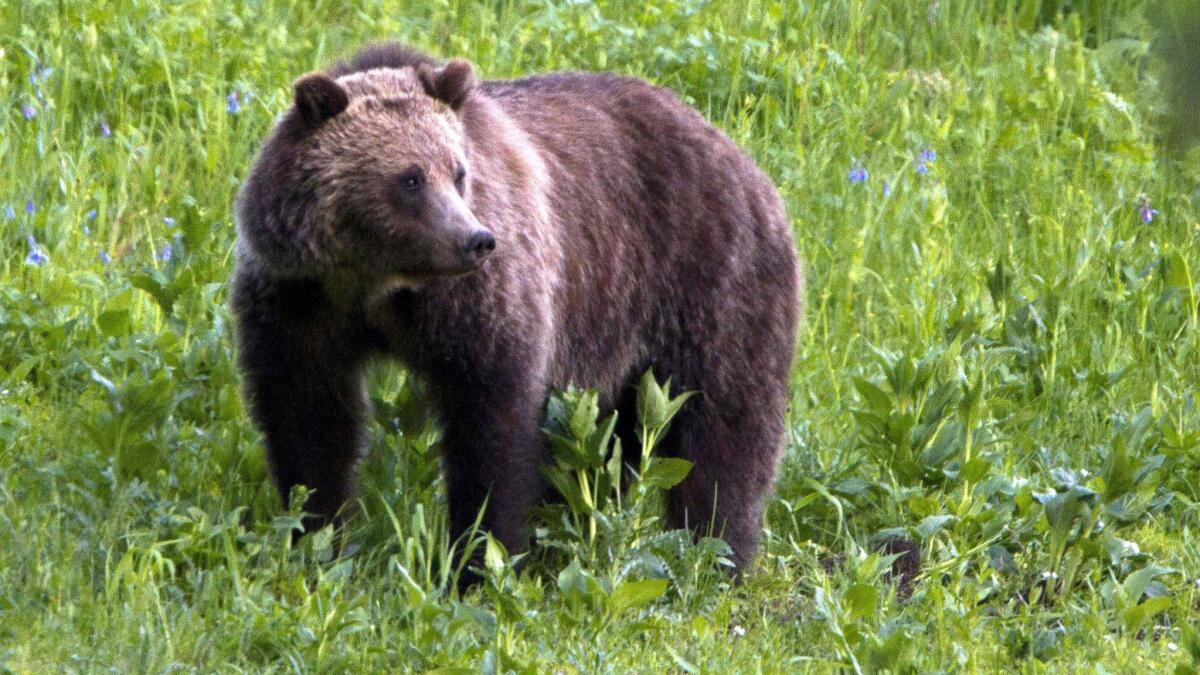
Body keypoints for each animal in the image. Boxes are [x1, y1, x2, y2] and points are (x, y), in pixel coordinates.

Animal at [229, 43, 801, 571]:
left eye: (458, 172)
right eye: (410, 178)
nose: (475, 240)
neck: (376, 283)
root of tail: (739, 153)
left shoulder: (479, 305)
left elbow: (493, 426)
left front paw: (481, 556)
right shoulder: (300, 302)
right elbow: (309, 418)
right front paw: (315, 537)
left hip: (706, 282)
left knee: (724, 427)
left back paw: (717, 553)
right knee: (611, 442)